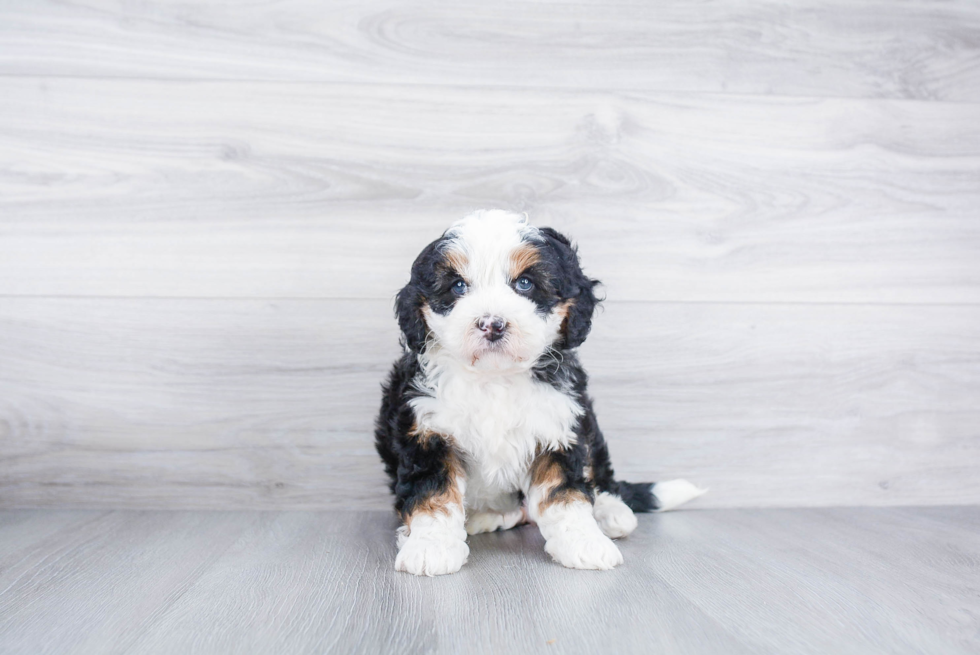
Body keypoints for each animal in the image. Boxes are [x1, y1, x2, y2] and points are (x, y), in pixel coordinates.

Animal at [374, 210, 704, 576]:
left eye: (525, 284)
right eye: (458, 286)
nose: (492, 324)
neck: (495, 377)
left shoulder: (559, 427)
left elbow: (566, 492)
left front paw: (584, 542)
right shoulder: (426, 433)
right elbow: (432, 493)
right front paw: (430, 546)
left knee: (598, 476)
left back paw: (611, 512)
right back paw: (485, 517)